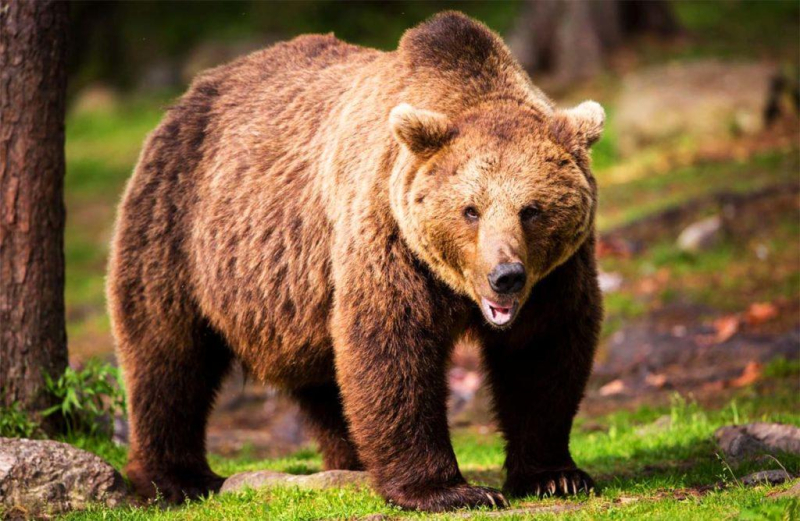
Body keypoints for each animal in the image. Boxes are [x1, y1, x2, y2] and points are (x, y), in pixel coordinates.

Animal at [108, 11, 608, 512]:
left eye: (531, 210)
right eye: (471, 210)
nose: (504, 276)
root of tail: (188, 96)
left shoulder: (556, 276)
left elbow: (541, 353)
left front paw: (555, 476)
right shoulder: (390, 238)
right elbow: (392, 347)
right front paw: (449, 489)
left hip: (295, 300)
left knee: (323, 383)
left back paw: (350, 461)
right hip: (178, 228)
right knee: (167, 354)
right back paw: (176, 478)